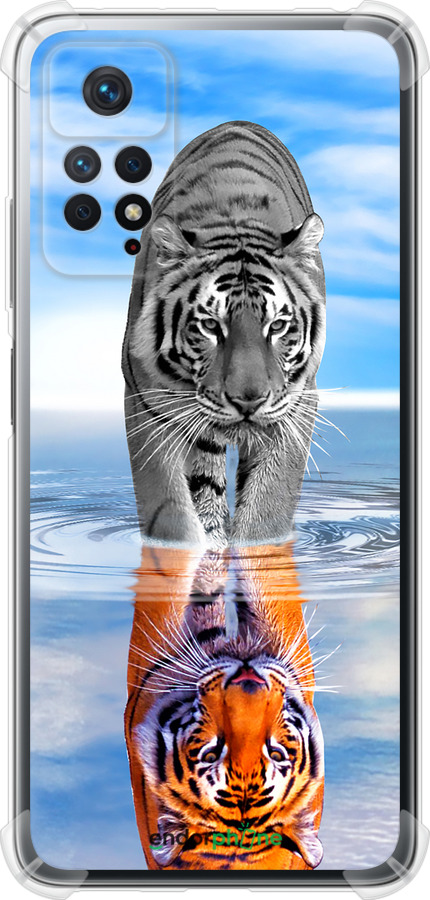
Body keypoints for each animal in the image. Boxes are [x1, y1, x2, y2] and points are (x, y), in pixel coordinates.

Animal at [122, 121, 326, 548]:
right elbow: (170, 512)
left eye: (277, 326)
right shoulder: (146, 401)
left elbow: (268, 509)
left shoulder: (297, 404)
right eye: (210, 326)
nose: (248, 401)